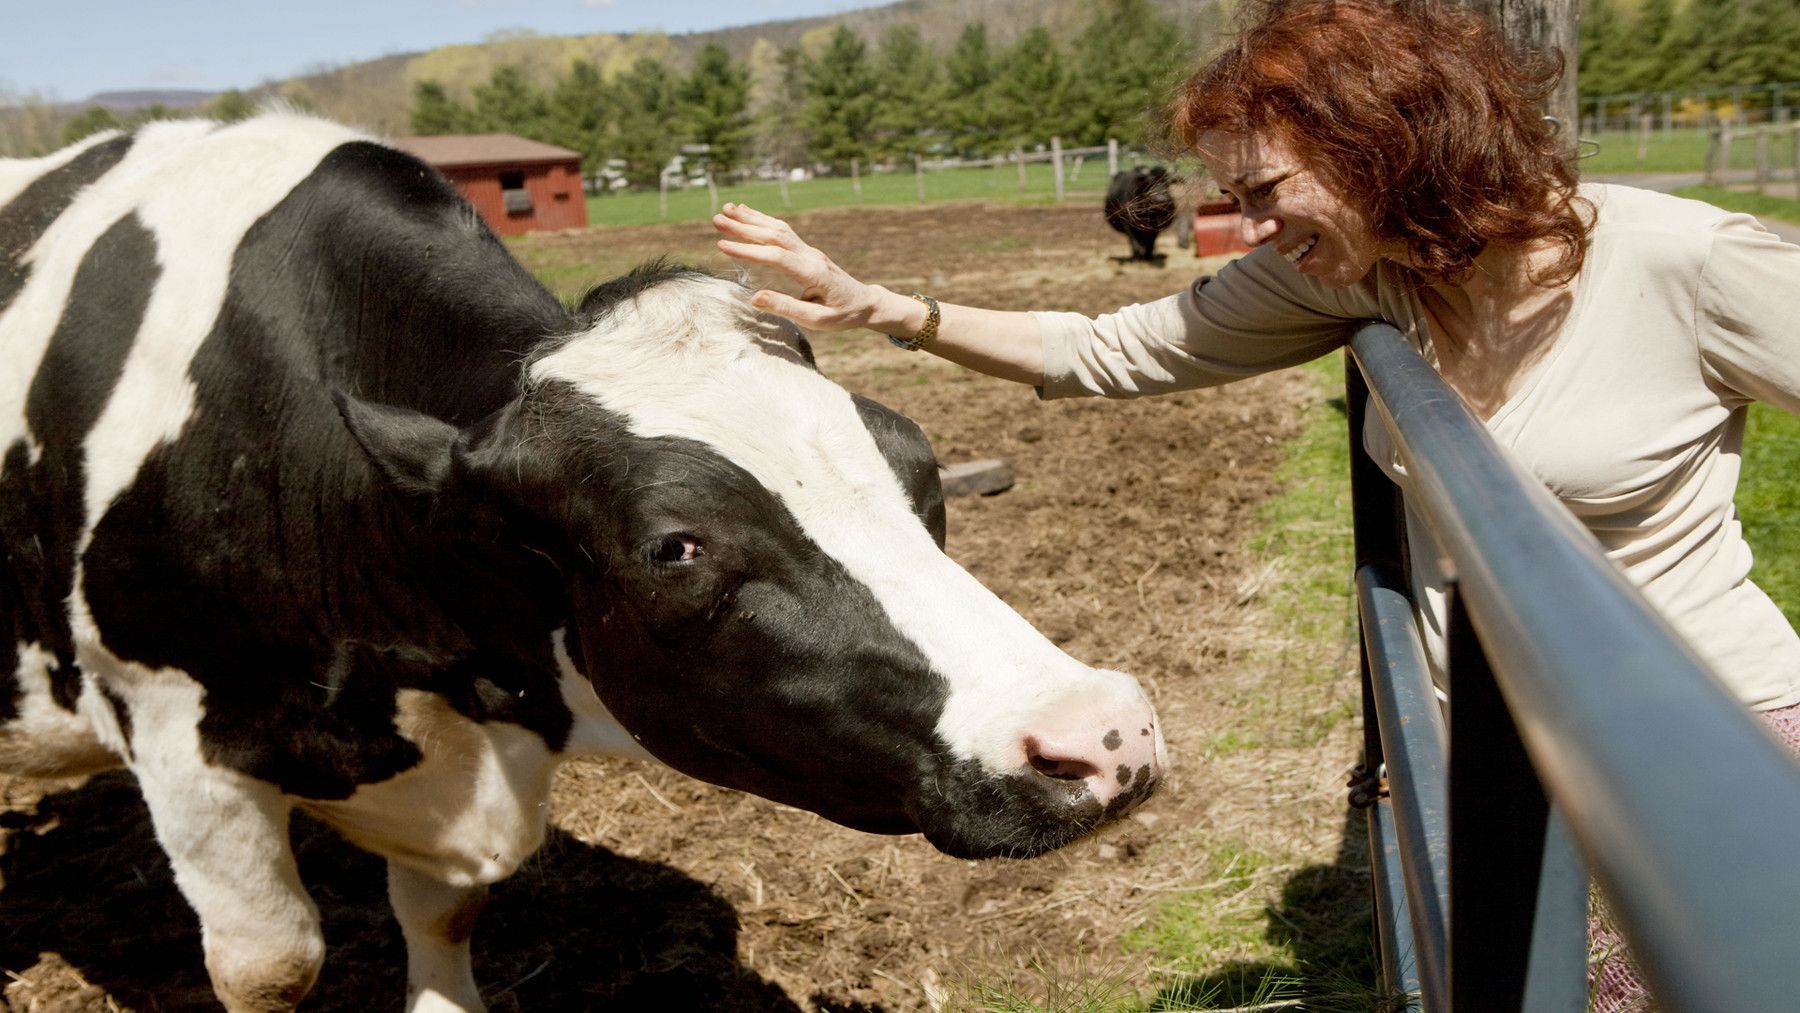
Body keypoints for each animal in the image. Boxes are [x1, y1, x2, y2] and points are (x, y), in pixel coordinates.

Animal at [3, 115, 1166, 1007]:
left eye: (916, 459)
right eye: (676, 546)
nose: (1102, 734)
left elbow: (444, 914)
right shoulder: (178, 737)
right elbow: (271, 966)